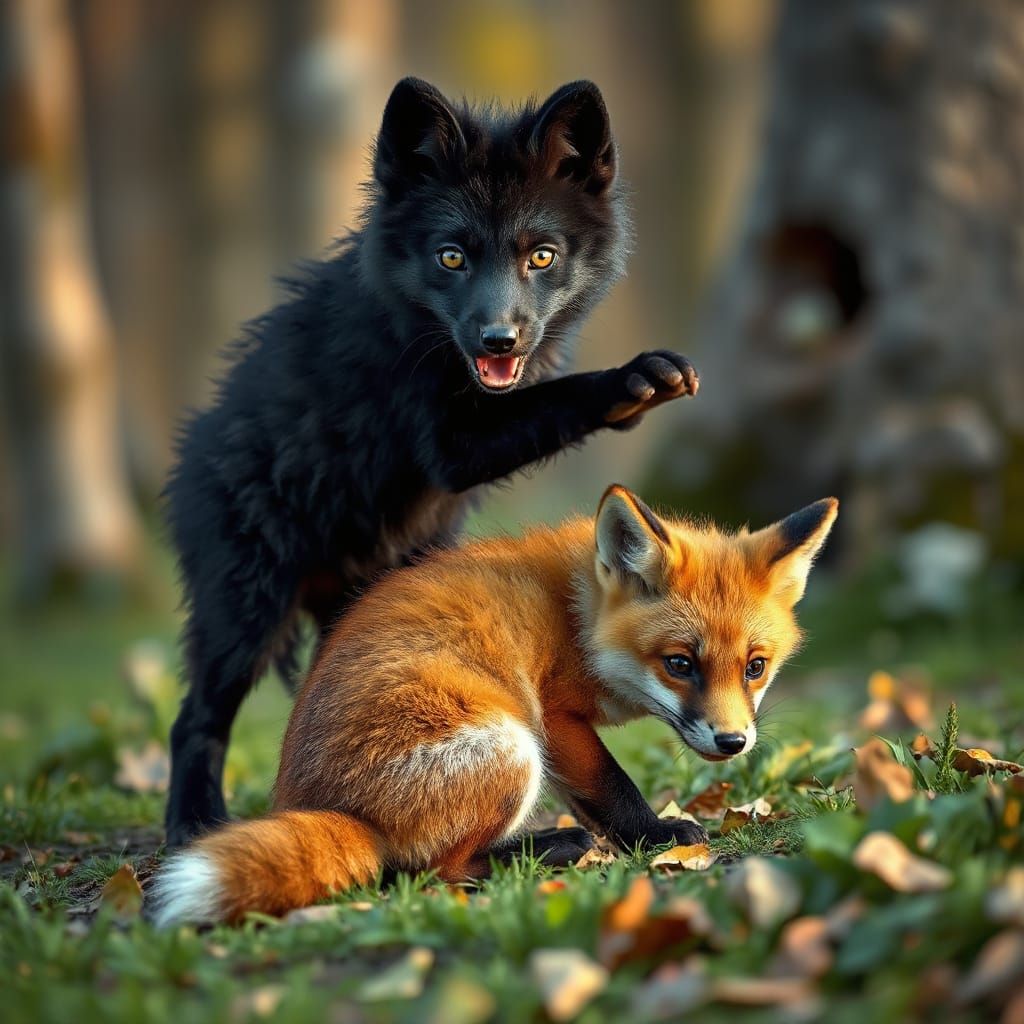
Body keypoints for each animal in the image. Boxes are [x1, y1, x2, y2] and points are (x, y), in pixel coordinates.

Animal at [151, 486, 838, 926]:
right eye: (680, 664)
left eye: (755, 667)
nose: (733, 742)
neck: (578, 614)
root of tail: (328, 807)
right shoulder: (554, 715)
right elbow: (614, 787)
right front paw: (654, 837)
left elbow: (592, 800)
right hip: (511, 743)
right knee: (429, 870)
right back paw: (546, 850)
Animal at [163, 76, 700, 847]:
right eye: (451, 257)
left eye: (541, 256)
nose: (499, 338)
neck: (419, 329)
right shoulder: (449, 444)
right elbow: (558, 398)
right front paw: (628, 380)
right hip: (247, 613)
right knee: (193, 720)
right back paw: (192, 823)